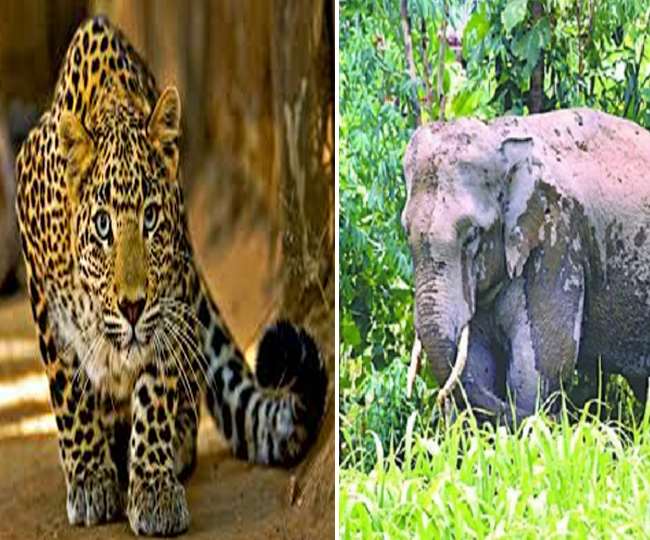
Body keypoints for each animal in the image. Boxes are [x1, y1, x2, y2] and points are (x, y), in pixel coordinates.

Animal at [15, 15, 327, 536]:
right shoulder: (44, 297)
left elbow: (156, 393)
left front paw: (154, 487)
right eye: (103, 226)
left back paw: (172, 445)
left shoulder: (173, 298)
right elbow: (69, 390)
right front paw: (91, 480)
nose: (132, 306)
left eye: (151, 218)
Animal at [401, 108, 650, 423]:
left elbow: (540, 365)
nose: (583, 418)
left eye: (472, 235)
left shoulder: (557, 239)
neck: (499, 137)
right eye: (406, 232)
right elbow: (479, 361)